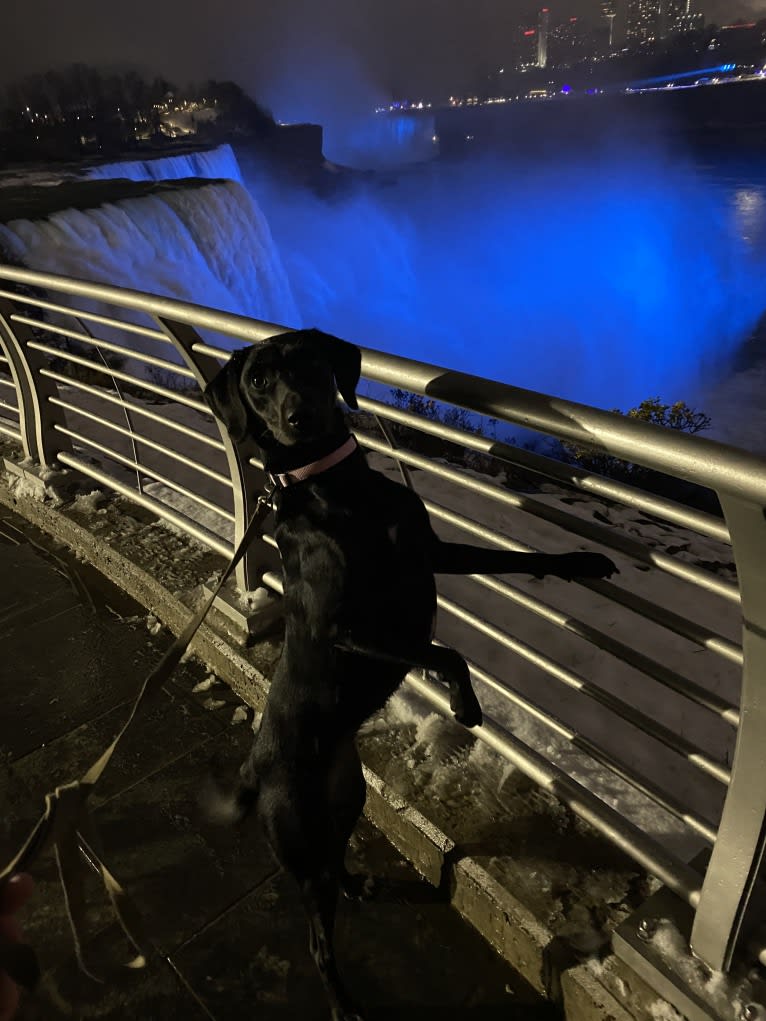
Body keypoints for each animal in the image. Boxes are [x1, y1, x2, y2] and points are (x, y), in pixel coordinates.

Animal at [204, 330, 616, 1016]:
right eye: (257, 381)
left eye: (308, 362)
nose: (298, 417)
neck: (337, 490)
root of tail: (253, 770)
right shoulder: (345, 627)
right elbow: (446, 652)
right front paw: (466, 707)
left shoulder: (430, 552)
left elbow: (515, 560)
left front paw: (581, 561)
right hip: (297, 835)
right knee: (316, 936)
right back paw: (343, 1004)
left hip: (346, 799)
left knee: (334, 862)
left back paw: (357, 884)